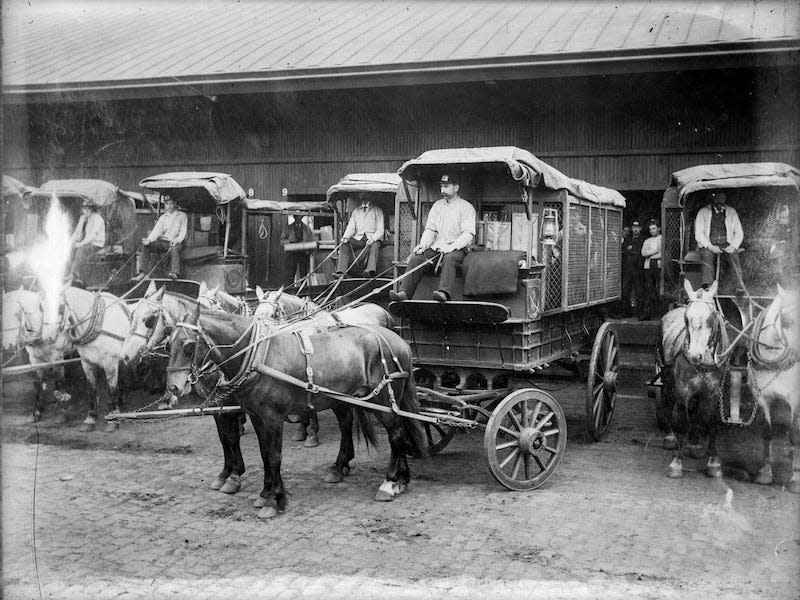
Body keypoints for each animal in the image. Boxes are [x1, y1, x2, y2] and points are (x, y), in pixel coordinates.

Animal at [166, 308, 428, 516]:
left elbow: (274, 456)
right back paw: (397, 479)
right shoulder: (257, 417)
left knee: (396, 436)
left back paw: (389, 483)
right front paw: (264, 493)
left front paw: (275, 499)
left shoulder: (273, 417)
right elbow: (264, 454)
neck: (259, 355)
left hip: (383, 400)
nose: (173, 387)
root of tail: (399, 341)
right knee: (388, 431)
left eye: (189, 346)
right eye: (169, 343)